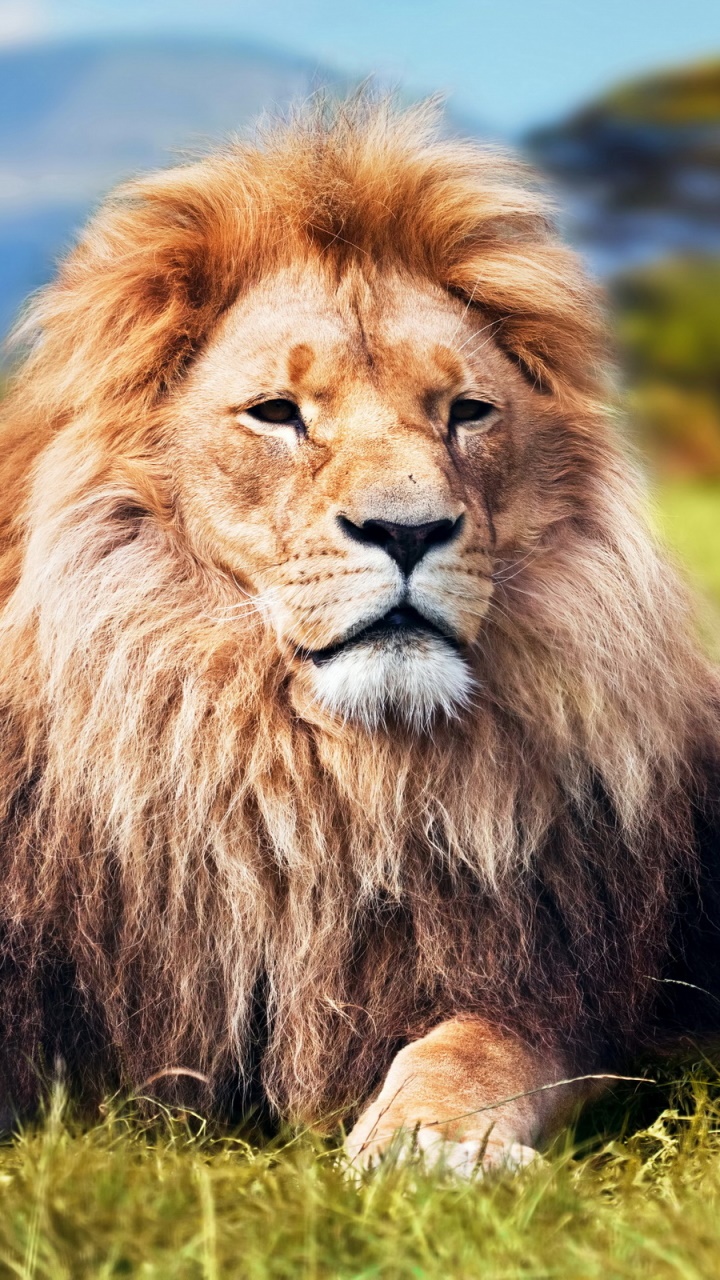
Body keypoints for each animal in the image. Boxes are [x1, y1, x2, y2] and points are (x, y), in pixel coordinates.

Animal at [0, 99, 718, 1171]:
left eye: (467, 412)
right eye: (276, 414)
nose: (409, 530)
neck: (312, 780)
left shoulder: (567, 989)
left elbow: (481, 1044)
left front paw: (433, 1140)